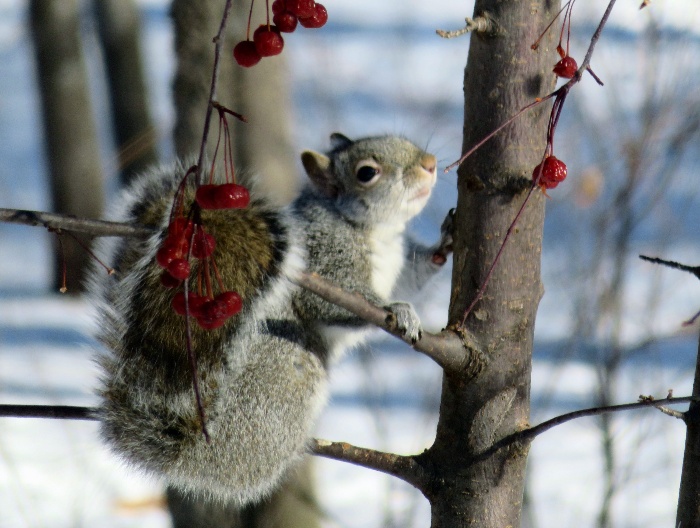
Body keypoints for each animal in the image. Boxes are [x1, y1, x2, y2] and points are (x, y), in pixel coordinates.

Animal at [89, 132, 454, 504]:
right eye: (367, 173)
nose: (430, 164)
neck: (378, 232)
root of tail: (195, 450)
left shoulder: (401, 264)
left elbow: (414, 275)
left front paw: (444, 245)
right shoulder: (325, 257)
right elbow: (332, 303)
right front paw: (398, 309)